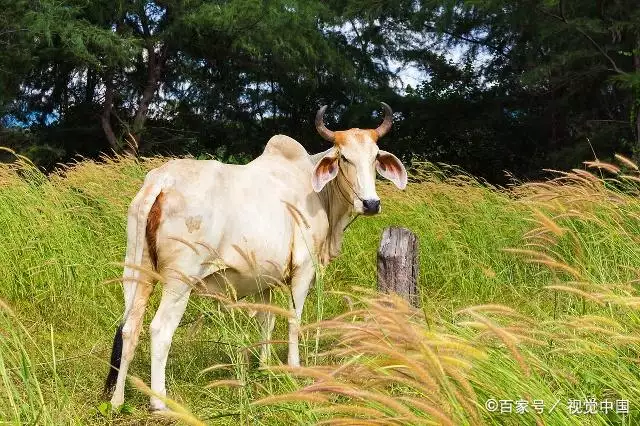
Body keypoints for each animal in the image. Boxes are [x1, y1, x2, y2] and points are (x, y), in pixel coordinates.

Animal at [103, 102, 408, 410]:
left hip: (136, 274)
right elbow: (293, 319)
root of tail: (163, 180)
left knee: (129, 328)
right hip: (180, 282)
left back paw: (117, 399)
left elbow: (267, 321)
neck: (316, 190)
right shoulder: (304, 267)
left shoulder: (265, 278)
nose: (371, 203)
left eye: (375, 157)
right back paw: (160, 403)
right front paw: (294, 368)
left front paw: (264, 367)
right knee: (159, 330)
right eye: (344, 158)